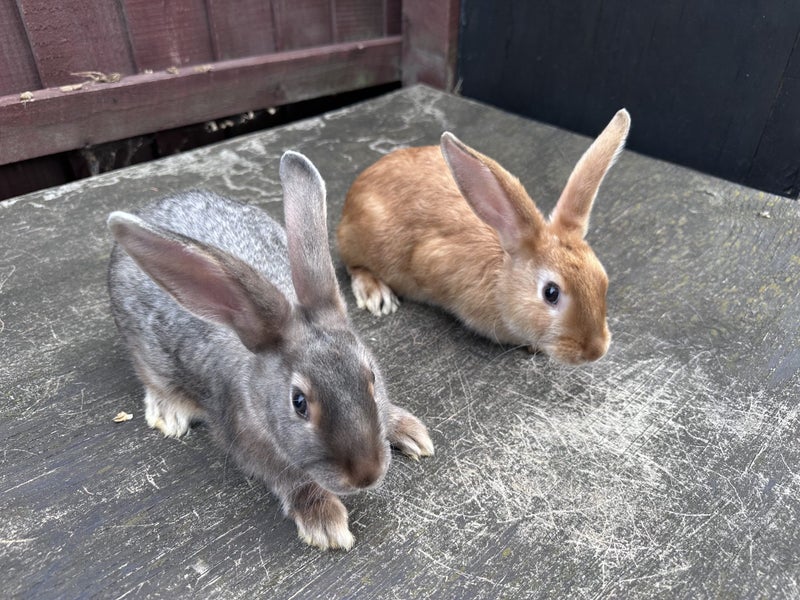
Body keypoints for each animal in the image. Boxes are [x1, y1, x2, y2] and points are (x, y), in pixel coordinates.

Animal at [107, 151, 434, 551]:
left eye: (371, 377)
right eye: (299, 403)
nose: (366, 476)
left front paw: (410, 431)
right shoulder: (250, 442)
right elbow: (292, 479)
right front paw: (325, 523)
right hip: (146, 357)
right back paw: (168, 412)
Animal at [337, 110, 630, 365]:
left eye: (602, 279)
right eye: (551, 293)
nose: (596, 351)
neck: (502, 276)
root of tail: (355, 192)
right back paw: (375, 293)